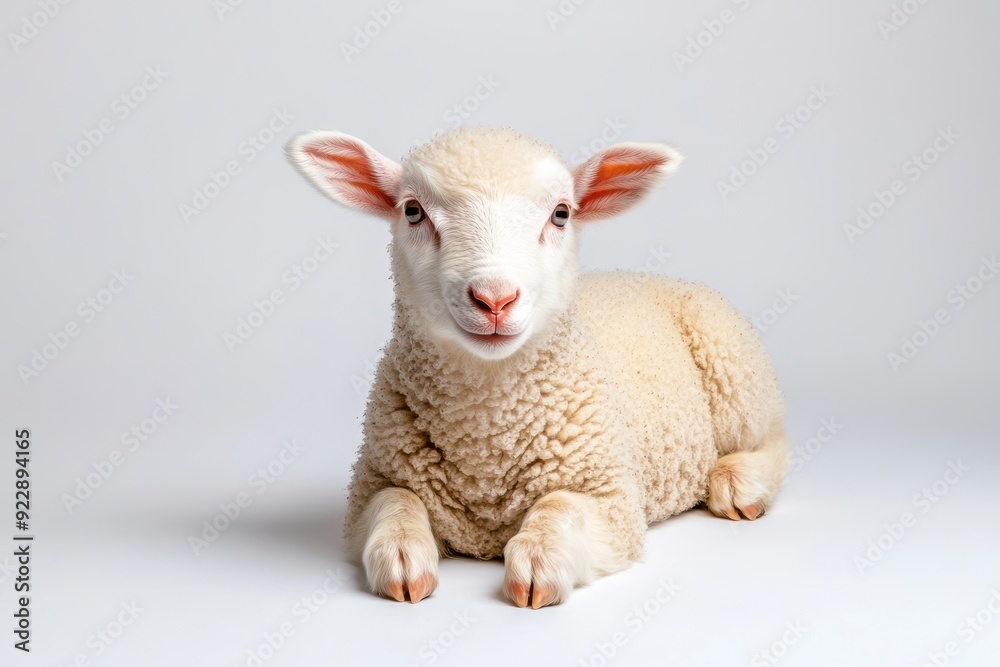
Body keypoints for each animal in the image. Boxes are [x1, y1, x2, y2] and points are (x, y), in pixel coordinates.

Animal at [285, 125, 788, 608]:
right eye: (412, 211)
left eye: (561, 214)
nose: (494, 299)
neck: (487, 435)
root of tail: (646, 276)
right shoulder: (371, 483)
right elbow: (396, 500)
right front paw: (402, 554)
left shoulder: (613, 501)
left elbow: (560, 506)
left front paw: (539, 561)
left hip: (735, 371)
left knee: (774, 437)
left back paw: (738, 484)